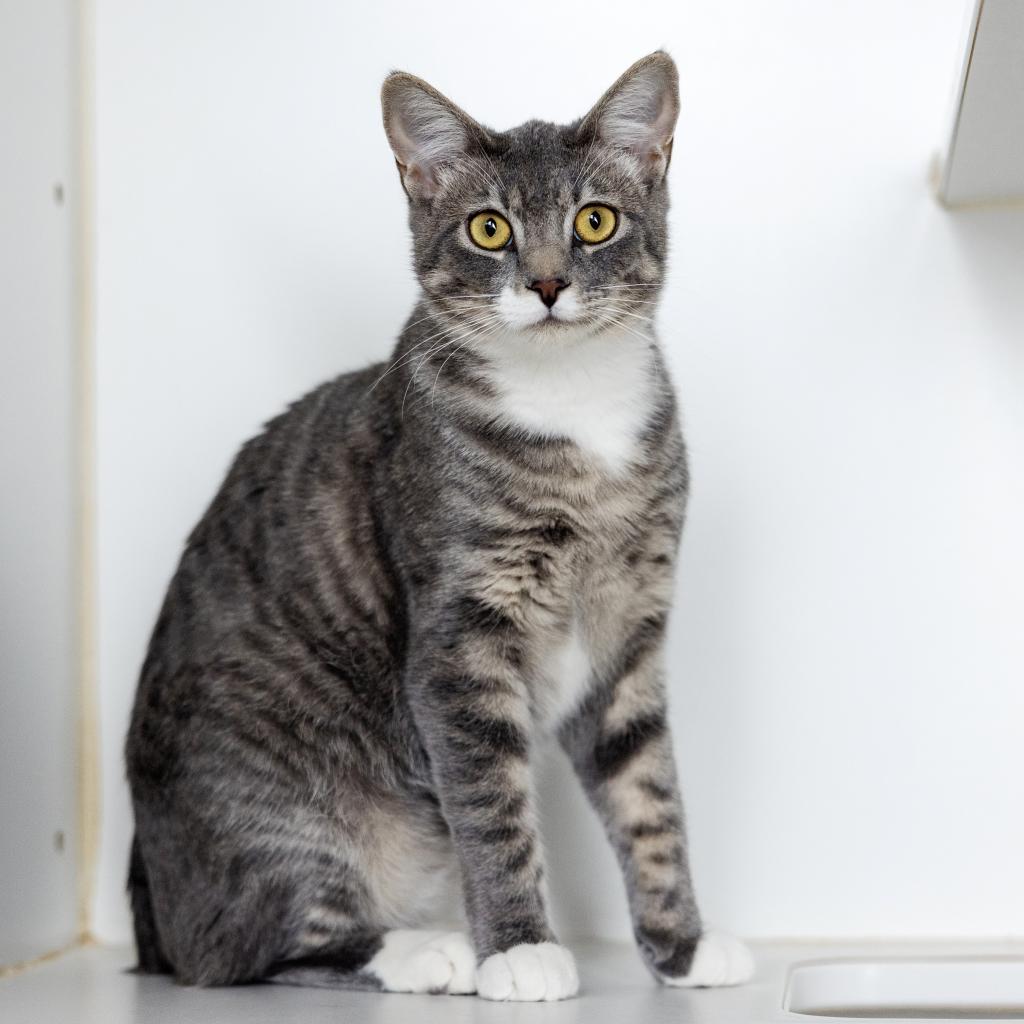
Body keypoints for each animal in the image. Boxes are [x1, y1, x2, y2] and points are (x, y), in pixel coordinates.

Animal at [125, 51, 753, 1003]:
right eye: (489, 229)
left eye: (595, 220)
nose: (546, 283)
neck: (570, 411)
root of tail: (151, 916)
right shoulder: (460, 639)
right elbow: (492, 807)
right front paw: (520, 948)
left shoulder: (630, 634)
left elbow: (648, 795)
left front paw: (682, 946)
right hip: (273, 802)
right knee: (250, 948)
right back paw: (426, 950)